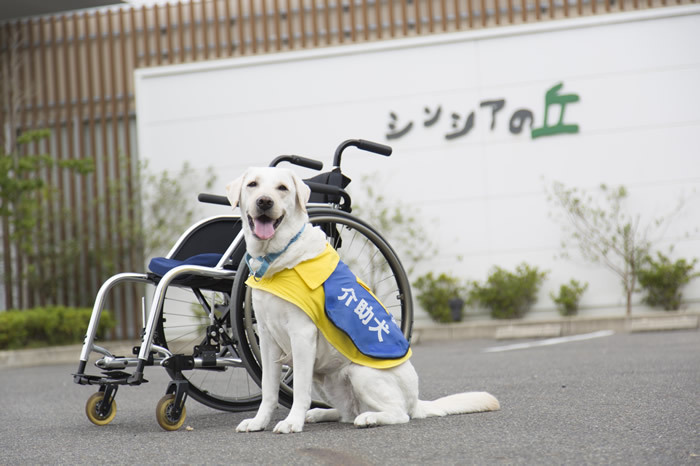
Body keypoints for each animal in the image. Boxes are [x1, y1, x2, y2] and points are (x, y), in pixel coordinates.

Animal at [227, 167, 500, 434]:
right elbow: (269, 389)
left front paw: (293, 422)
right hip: (326, 378)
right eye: (252, 185)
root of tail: (416, 400)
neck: (277, 259)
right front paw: (259, 421)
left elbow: (300, 392)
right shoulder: (267, 337)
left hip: (361, 372)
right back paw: (321, 413)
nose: (264, 201)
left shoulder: (302, 334)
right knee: (347, 413)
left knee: (398, 414)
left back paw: (369, 418)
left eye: (282, 188)